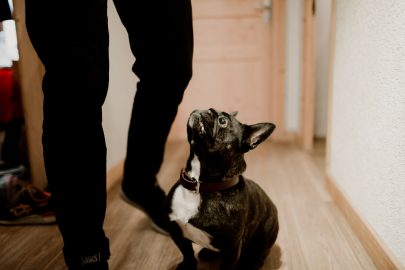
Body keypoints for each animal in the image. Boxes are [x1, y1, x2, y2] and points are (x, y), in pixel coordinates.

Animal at [163, 108, 280, 268]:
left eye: (223, 121)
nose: (203, 110)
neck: (200, 185)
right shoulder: (175, 230)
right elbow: (187, 252)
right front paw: (188, 265)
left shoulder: (233, 246)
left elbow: (226, 265)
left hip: (264, 238)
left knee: (259, 256)